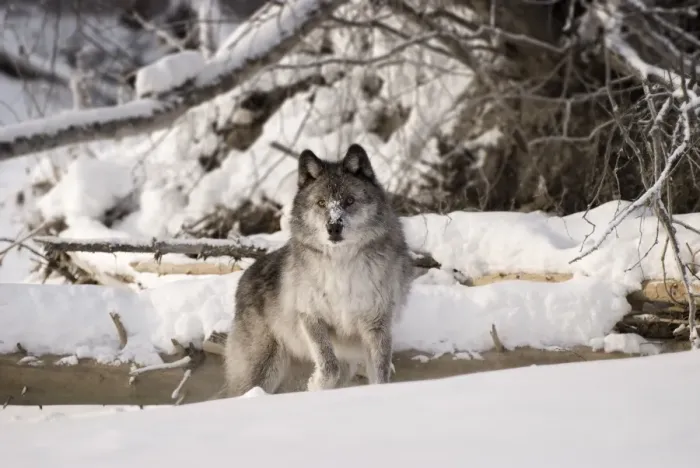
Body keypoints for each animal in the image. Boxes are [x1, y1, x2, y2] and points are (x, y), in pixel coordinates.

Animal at [223, 143, 413, 396]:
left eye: (349, 200)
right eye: (321, 203)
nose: (333, 227)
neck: (342, 266)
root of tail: (242, 279)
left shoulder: (376, 324)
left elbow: (380, 376)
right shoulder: (311, 317)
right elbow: (329, 365)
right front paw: (315, 386)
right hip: (263, 369)